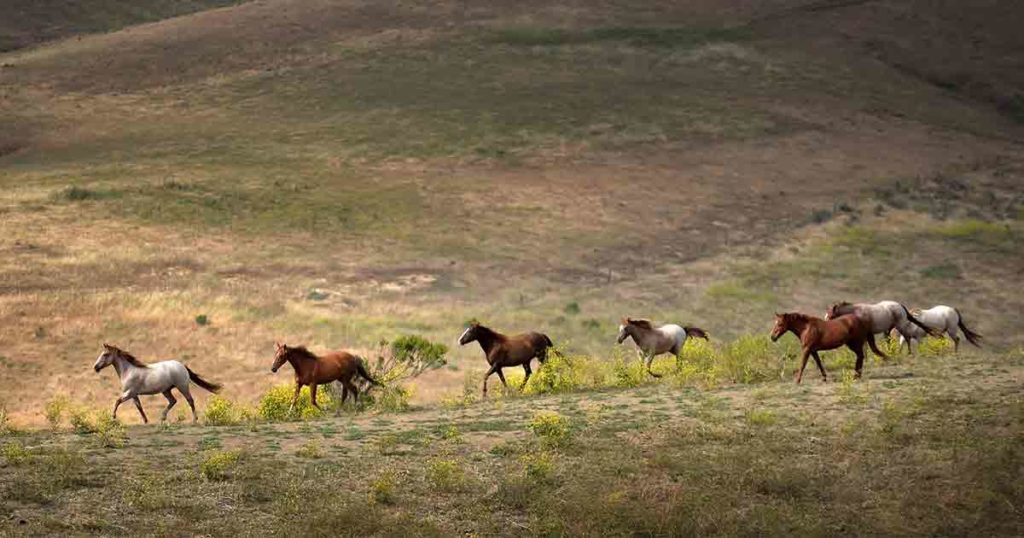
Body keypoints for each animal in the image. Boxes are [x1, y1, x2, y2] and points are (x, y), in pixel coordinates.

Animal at [92, 343, 222, 423]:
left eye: (105, 354)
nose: (95, 367)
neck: (129, 371)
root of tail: (182, 365)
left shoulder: (130, 393)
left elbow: (117, 401)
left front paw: (113, 417)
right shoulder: (134, 395)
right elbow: (139, 407)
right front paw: (146, 421)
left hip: (182, 386)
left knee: (190, 400)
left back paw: (194, 420)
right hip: (166, 390)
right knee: (173, 401)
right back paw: (162, 418)